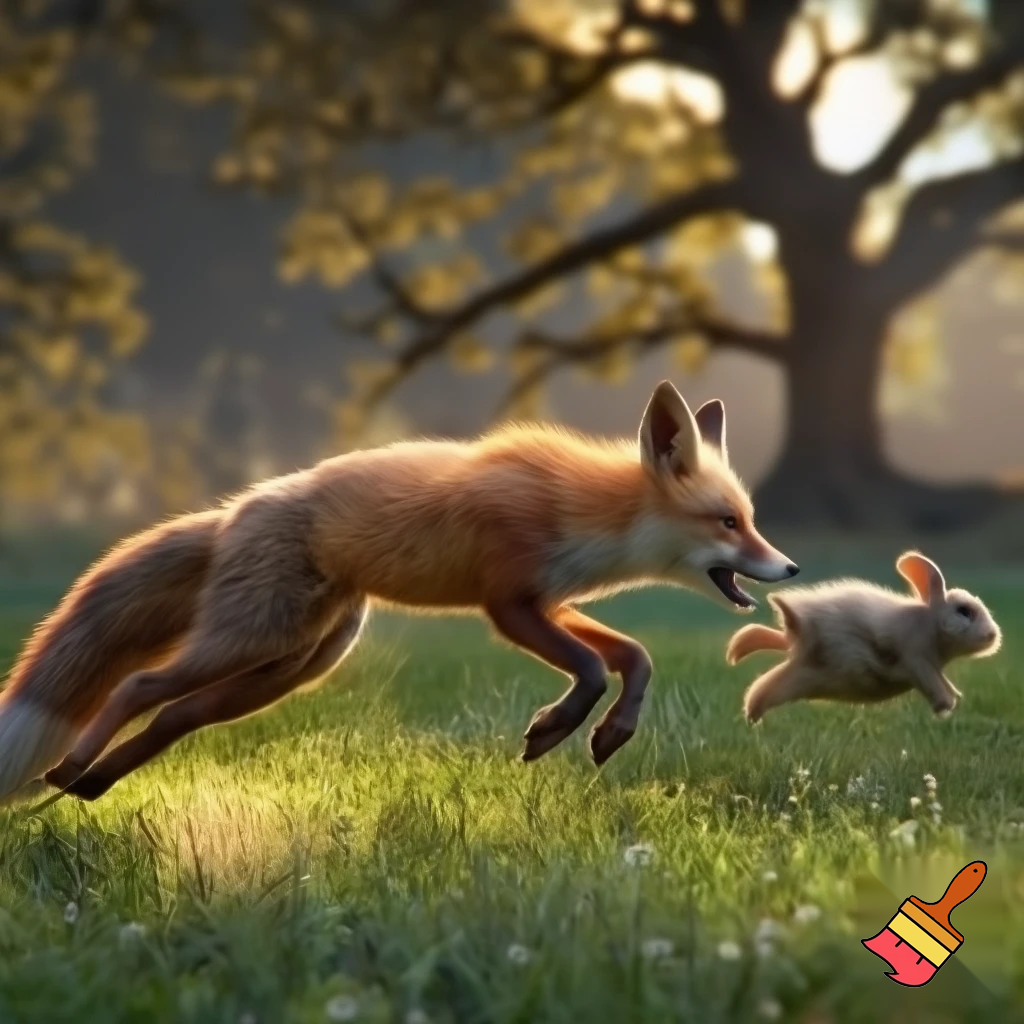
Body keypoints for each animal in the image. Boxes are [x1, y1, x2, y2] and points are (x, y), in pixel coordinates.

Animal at [0, 380, 797, 803]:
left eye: (751, 519)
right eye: (730, 522)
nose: (788, 569)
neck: (584, 513)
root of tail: (236, 510)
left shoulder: (548, 601)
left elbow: (634, 657)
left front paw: (610, 732)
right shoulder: (509, 604)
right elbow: (595, 667)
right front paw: (558, 726)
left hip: (287, 666)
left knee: (176, 715)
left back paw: (90, 785)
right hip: (252, 642)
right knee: (138, 686)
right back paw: (72, 768)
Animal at [725, 551, 1002, 724]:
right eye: (964, 611)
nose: (993, 636)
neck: (929, 624)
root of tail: (795, 618)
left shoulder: (931, 664)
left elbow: (942, 680)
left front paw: (955, 697)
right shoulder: (915, 657)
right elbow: (930, 680)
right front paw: (945, 707)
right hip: (813, 664)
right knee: (766, 685)